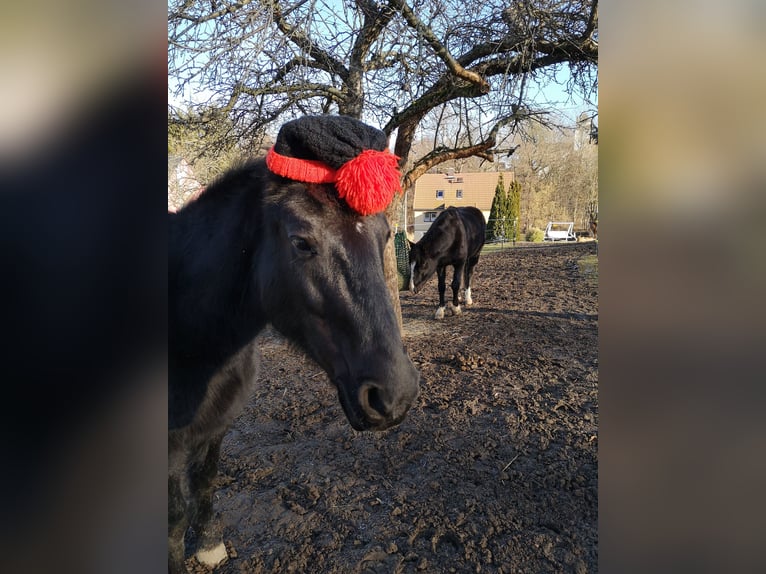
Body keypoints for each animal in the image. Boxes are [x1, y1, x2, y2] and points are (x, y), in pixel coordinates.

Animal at [170, 159, 420, 574]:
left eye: (385, 235)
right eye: (301, 242)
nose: (395, 394)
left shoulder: (215, 428)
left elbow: (205, 481)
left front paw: (207, 544)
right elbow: (174, 519)